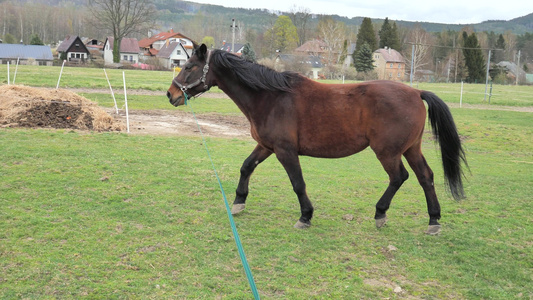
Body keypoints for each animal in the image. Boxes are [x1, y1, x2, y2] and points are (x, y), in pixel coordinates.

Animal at [166, 44, 466, 234]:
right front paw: (239, 202)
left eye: (189, 67)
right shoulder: (266, 146)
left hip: (388, 152)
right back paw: (433, 220)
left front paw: (305, 216)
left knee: (399, 177)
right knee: (425, 177)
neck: (271, 97)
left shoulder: (285, 151)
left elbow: (298, 184)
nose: (171, 94)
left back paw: (381, 213)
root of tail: (416, 92)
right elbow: (246, 167)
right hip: (411, 148)